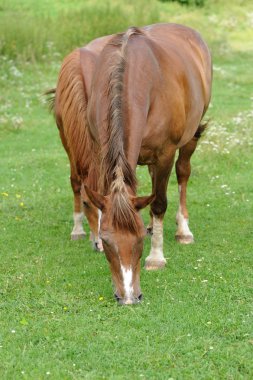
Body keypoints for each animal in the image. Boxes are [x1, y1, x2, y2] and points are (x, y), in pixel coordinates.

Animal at [49, 23, 211, 306]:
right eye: (107, 240)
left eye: (138, 242)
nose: (128, 297)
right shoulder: (98, 146)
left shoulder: (165, 152)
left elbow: (159, 202)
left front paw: (156, 257)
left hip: (190, 136)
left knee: (183, 174)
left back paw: (183, 229)